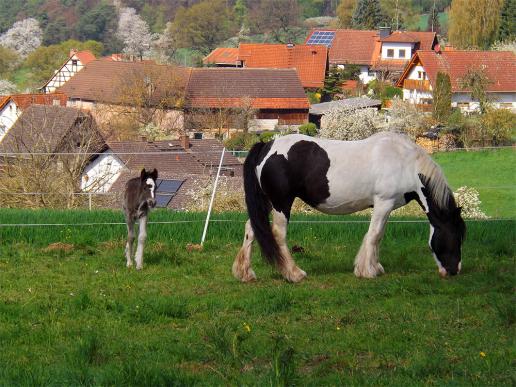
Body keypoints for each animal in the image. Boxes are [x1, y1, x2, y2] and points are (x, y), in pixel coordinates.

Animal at [232, 132, 466, 284]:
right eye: (455, 237)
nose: (454, 271)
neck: (405, 162)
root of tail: (267, 146)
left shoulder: (387, 207)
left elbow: (379, 235)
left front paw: (375, 267)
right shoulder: (384, 202)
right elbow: (374, 235)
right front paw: (367, 271)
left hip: (267, 202)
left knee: (251, 229)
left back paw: (245, 273)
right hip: (281, 203)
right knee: (278, 235)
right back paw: (294, 274)